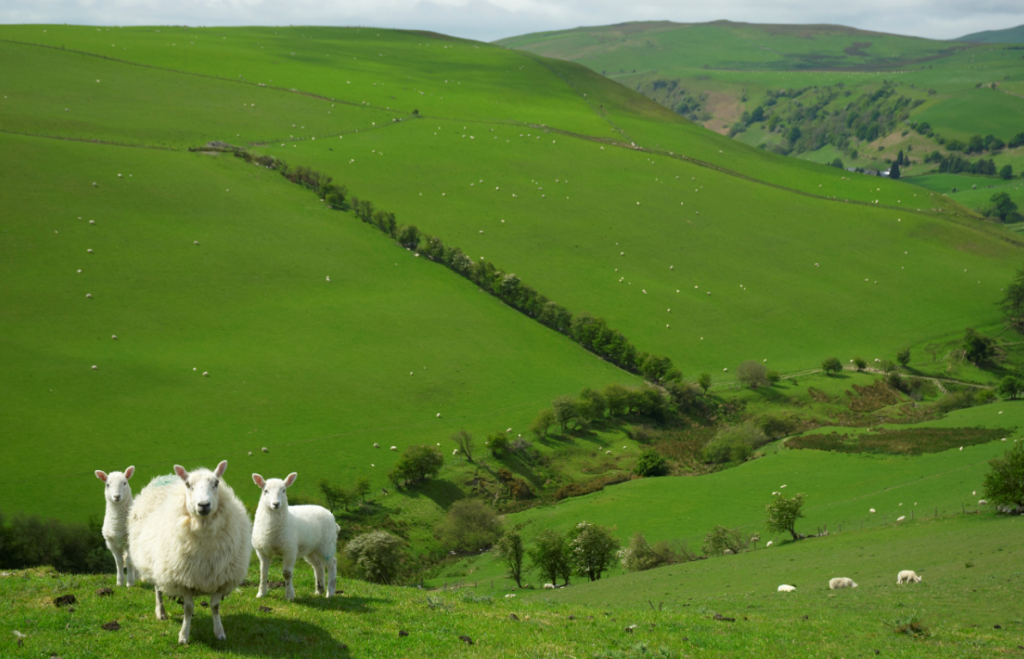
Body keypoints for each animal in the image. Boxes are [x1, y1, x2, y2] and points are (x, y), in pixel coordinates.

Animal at [127, 458, 249, 642]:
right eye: (188, 485)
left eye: (216, 483)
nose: (204, 505)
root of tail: (165, 476)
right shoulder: (182, 579)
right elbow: (189, 608)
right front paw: (184, 636)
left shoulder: (220, 578)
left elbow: (215, 607)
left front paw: (219, 632)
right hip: (157, 564)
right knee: (158, 589)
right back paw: (161, 612)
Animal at [251, 470, 339, 601]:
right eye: (265, 491)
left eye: (284, 490)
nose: (276, 504)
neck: (272, 531)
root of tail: (328, 513)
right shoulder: (262, 551)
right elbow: (263, 573)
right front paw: (261, 594)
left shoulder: (289, 551)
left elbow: (287, 574)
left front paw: (289, 595)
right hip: (311, 549)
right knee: (318, 565)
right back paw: (319, 590)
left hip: (326, 545)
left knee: (332, 564)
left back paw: (330, 592)